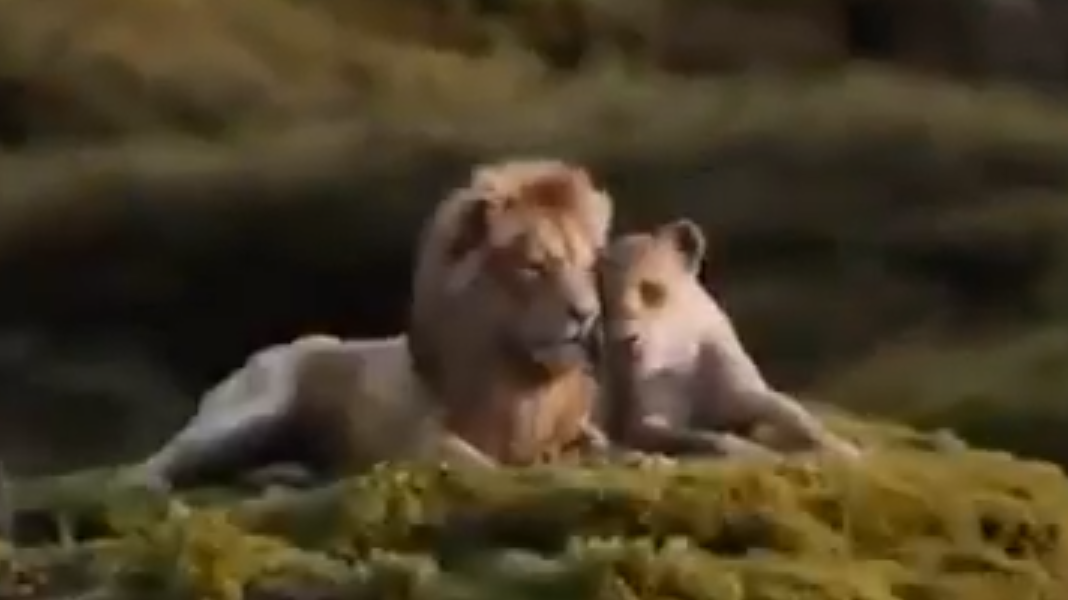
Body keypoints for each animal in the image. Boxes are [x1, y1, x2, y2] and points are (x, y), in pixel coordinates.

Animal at [596, 219, 862, 460]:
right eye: (604, 301)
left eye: (652, 290)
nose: (625, 340)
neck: (681, 356)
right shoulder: (649, 420)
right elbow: (708, 438)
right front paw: (758, 453)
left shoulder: (743, 393)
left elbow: (797, 416)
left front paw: (845, 452)